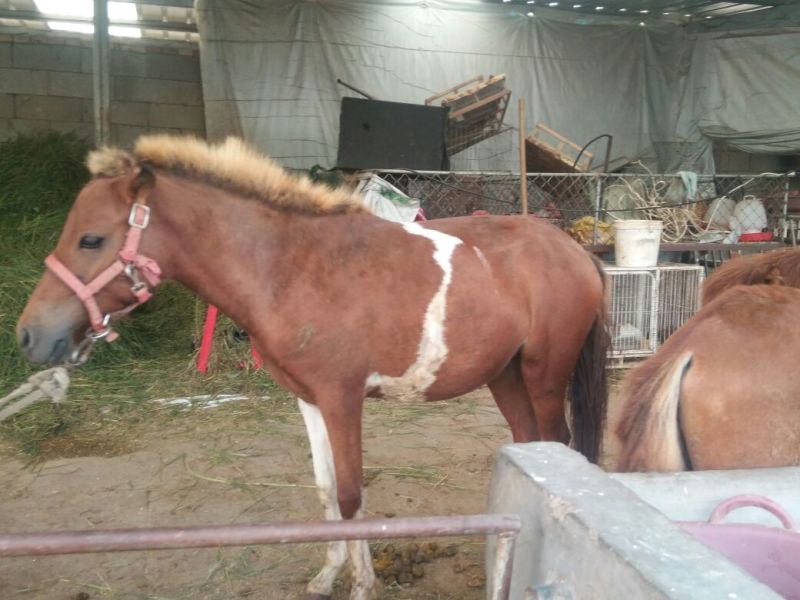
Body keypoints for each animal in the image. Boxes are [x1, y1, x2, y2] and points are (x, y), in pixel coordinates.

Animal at [16, 135, 609, 599]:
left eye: (91, 238)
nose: (28, 335)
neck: (291, 266)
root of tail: (575, 251)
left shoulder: (342, 399)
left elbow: (350, 494)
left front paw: (363, 584)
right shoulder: (308, 400)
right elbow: (326, 489)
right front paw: (328, 576)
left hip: (543, 375)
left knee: (557, 442)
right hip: (505, 376)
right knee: (530, 443)